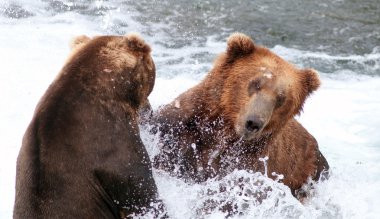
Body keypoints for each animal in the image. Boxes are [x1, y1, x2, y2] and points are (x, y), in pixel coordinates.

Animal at [153, 33, 328, 198]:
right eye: (255, 83)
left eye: (281, 98)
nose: (253, 123)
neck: (222, 131)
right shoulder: (179, 129)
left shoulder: (248, 164)